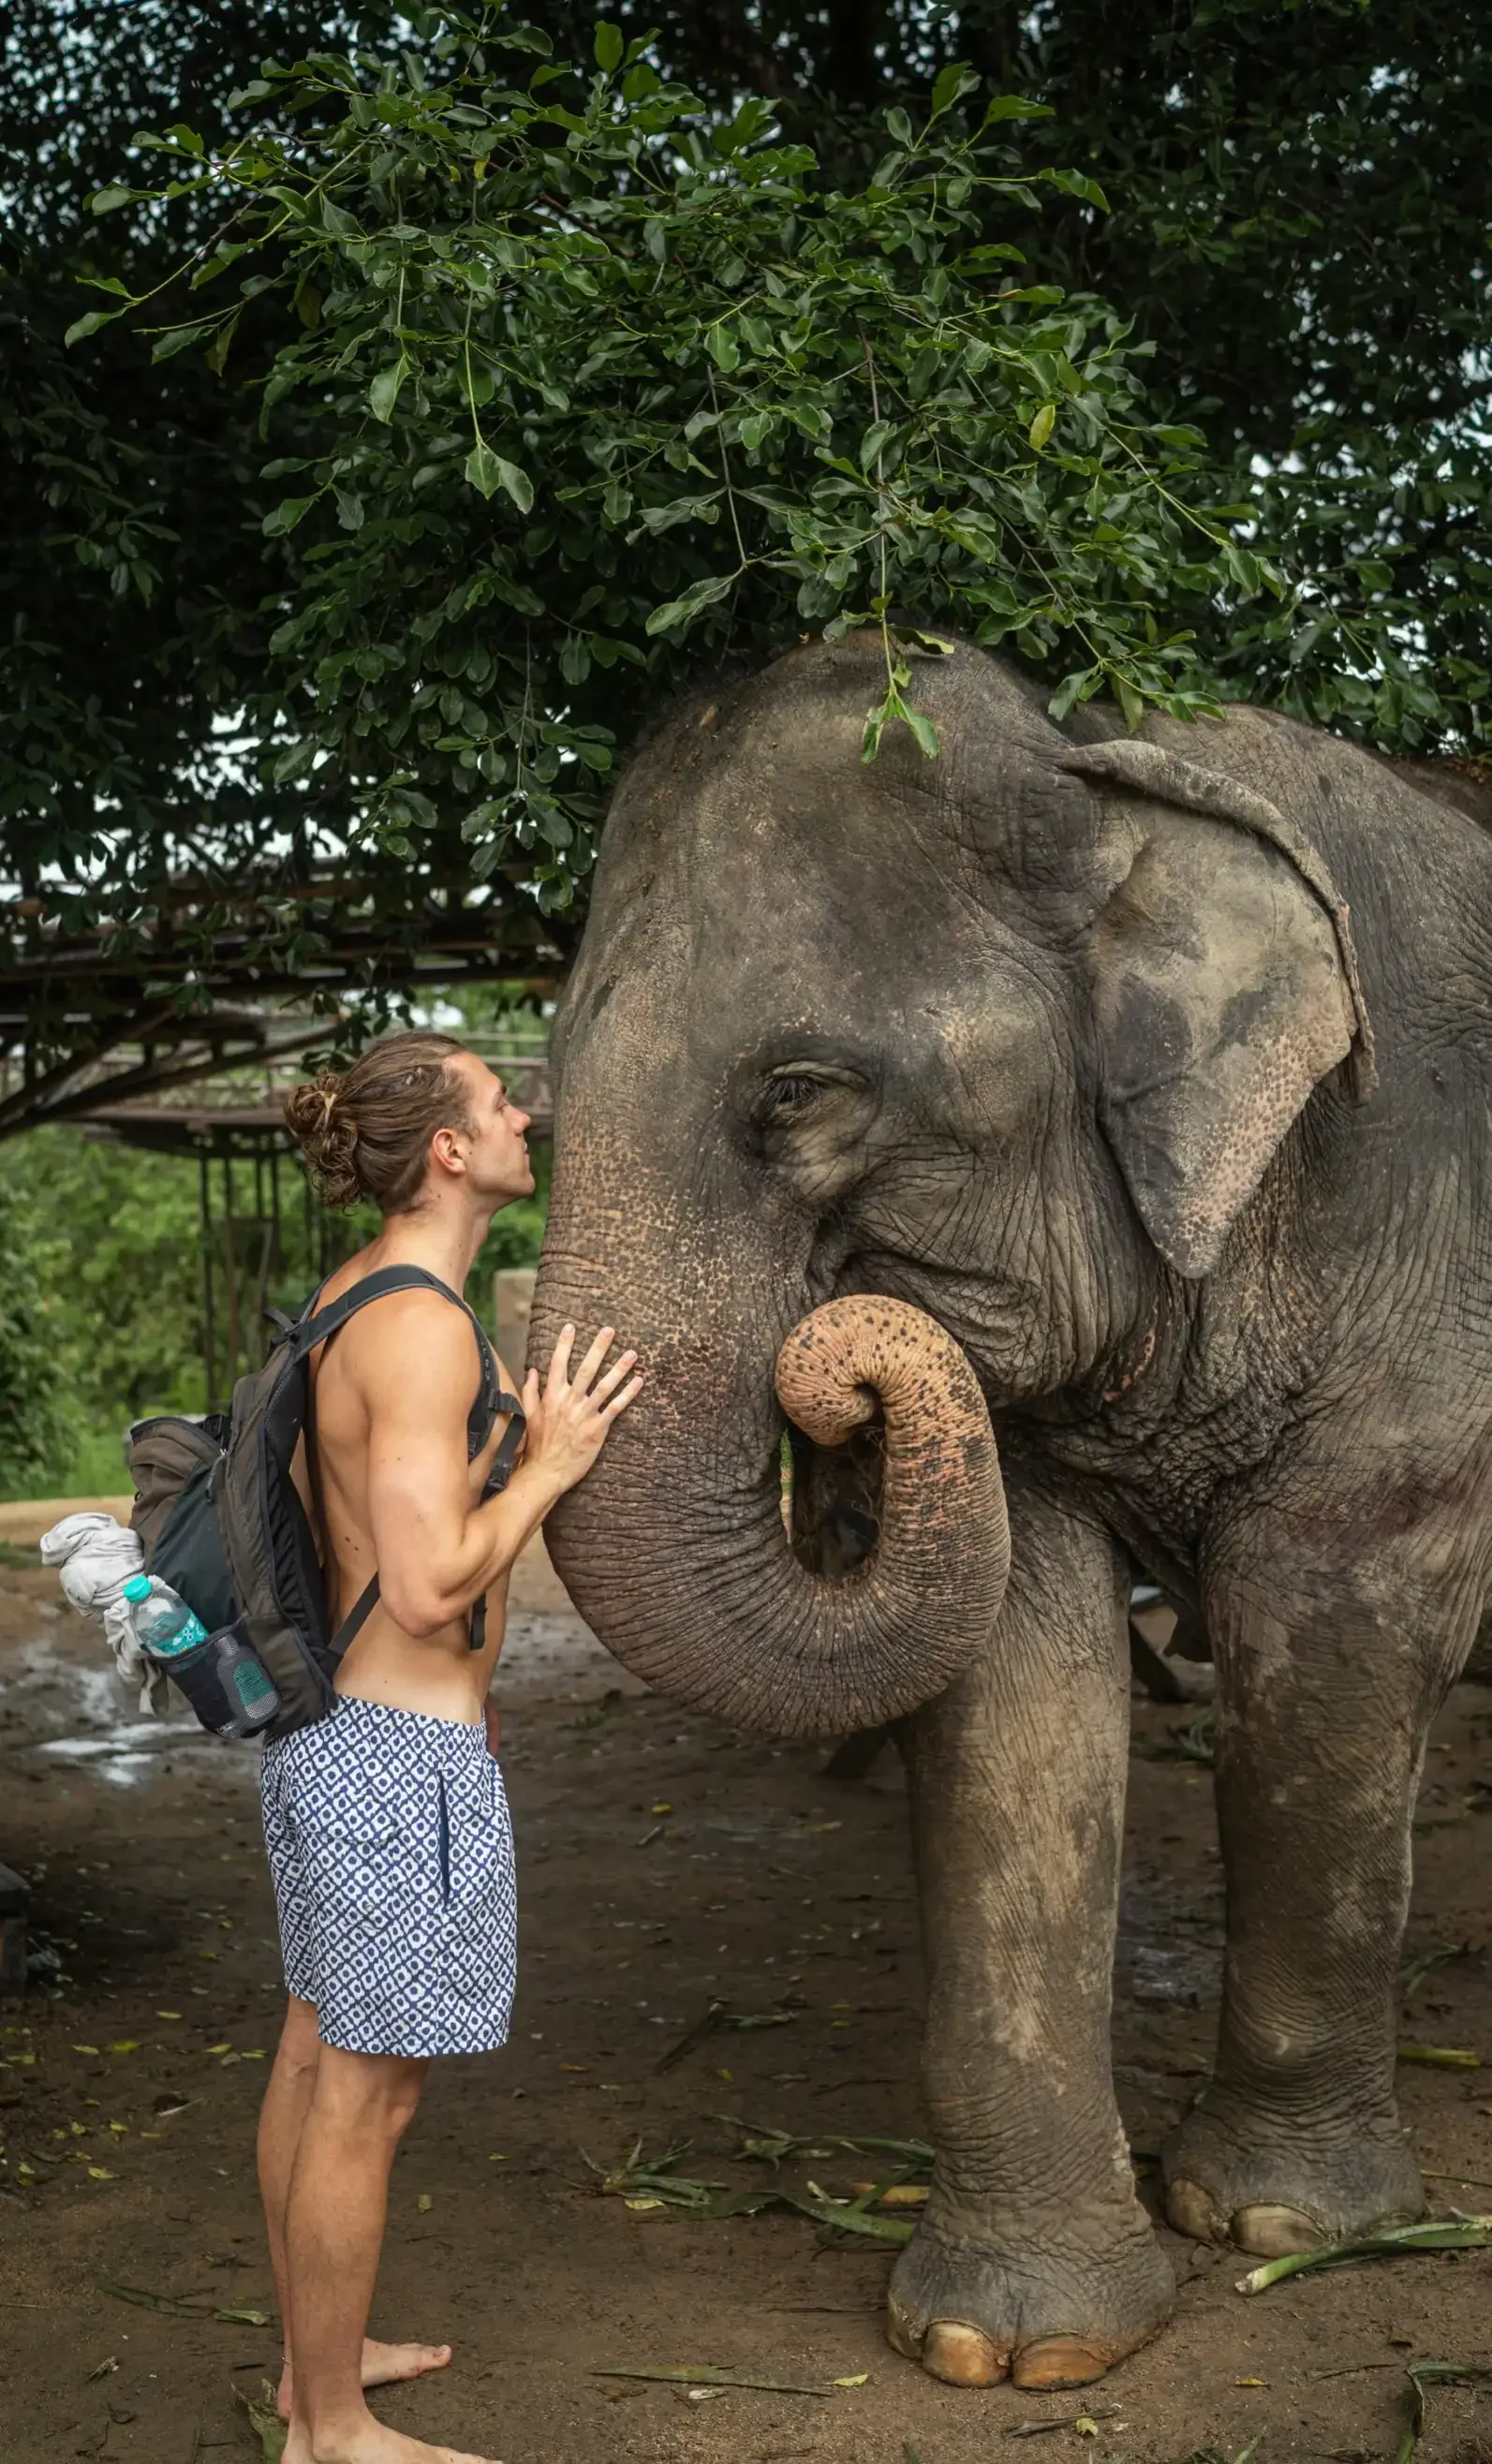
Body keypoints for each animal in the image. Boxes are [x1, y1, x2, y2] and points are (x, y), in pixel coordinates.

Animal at [530, 631, 1492, 2392]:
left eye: (795, 1092)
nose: (843, 1368)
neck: (1104, 752)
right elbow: (1013, 1686)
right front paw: (1013, 2345)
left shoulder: (1429, 1243)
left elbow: (1322, 1633)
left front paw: (1277, 2222)